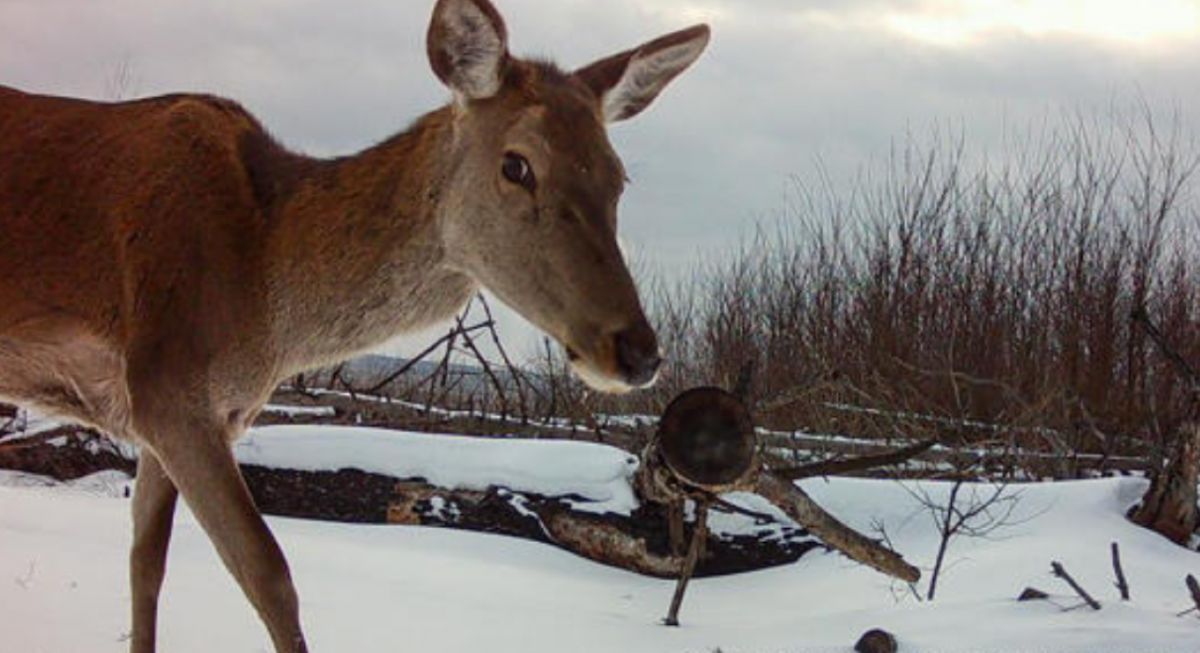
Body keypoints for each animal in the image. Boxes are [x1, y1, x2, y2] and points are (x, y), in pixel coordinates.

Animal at [0, 0, 709, 650]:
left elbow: (146, 566)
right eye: (517, 164)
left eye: (618, 178)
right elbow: (268, 574)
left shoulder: (181, 415)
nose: (637, 351)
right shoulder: (167, 388)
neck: (262, 299)